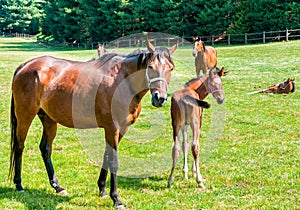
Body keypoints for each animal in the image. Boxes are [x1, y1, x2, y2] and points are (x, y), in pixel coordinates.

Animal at [9, 40, 176, 208]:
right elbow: (113, 161)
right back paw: (19, 185)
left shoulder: (120, 129)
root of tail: (25, 66)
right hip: (25, 116)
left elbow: (106, 155)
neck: (122, 81)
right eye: (150, 66)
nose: (160, 98)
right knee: (19, 146)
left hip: (49, 119)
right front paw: (116, 199)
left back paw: (57, 186)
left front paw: (102, 189)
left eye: (171, 68)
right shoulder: (112, 128)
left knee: (45, 148)